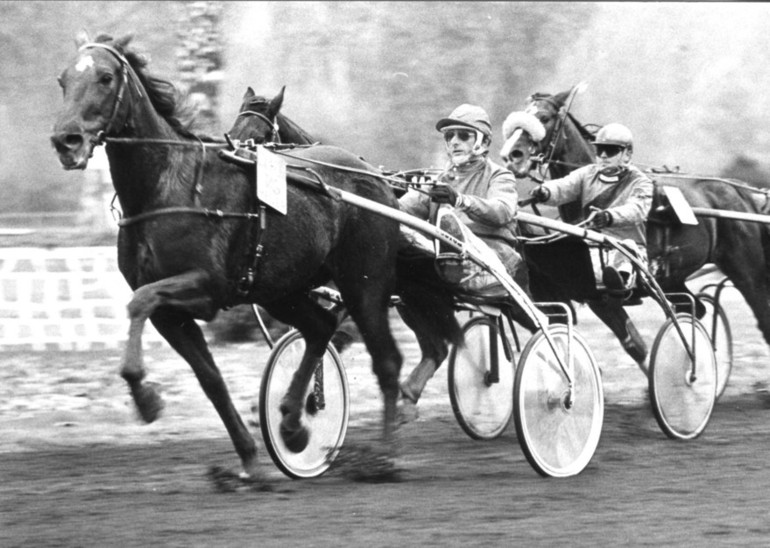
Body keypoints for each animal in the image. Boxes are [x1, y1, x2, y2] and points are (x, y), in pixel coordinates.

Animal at [49, 33, 456, 480]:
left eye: (106, 77)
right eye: (63, 79)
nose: (66, 140)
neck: (168, 188)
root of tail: (378, 182)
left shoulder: (207, 286)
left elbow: (139, 302)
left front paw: (147, 400)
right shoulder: (171, 314)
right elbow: (210, 378)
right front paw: (249, 462)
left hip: (364, 283)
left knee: (387, 360)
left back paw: (383, 457)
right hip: (283, 290)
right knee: (320, 327)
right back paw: (293, 423)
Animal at [504, 89, 768, 364]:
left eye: (544, 117)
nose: (512, 156)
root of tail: (740, 190)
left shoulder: (616, 286)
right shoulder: (594, 294)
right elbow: (631, 343)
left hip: (747, 271)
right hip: (674, 280)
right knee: (696, 308)